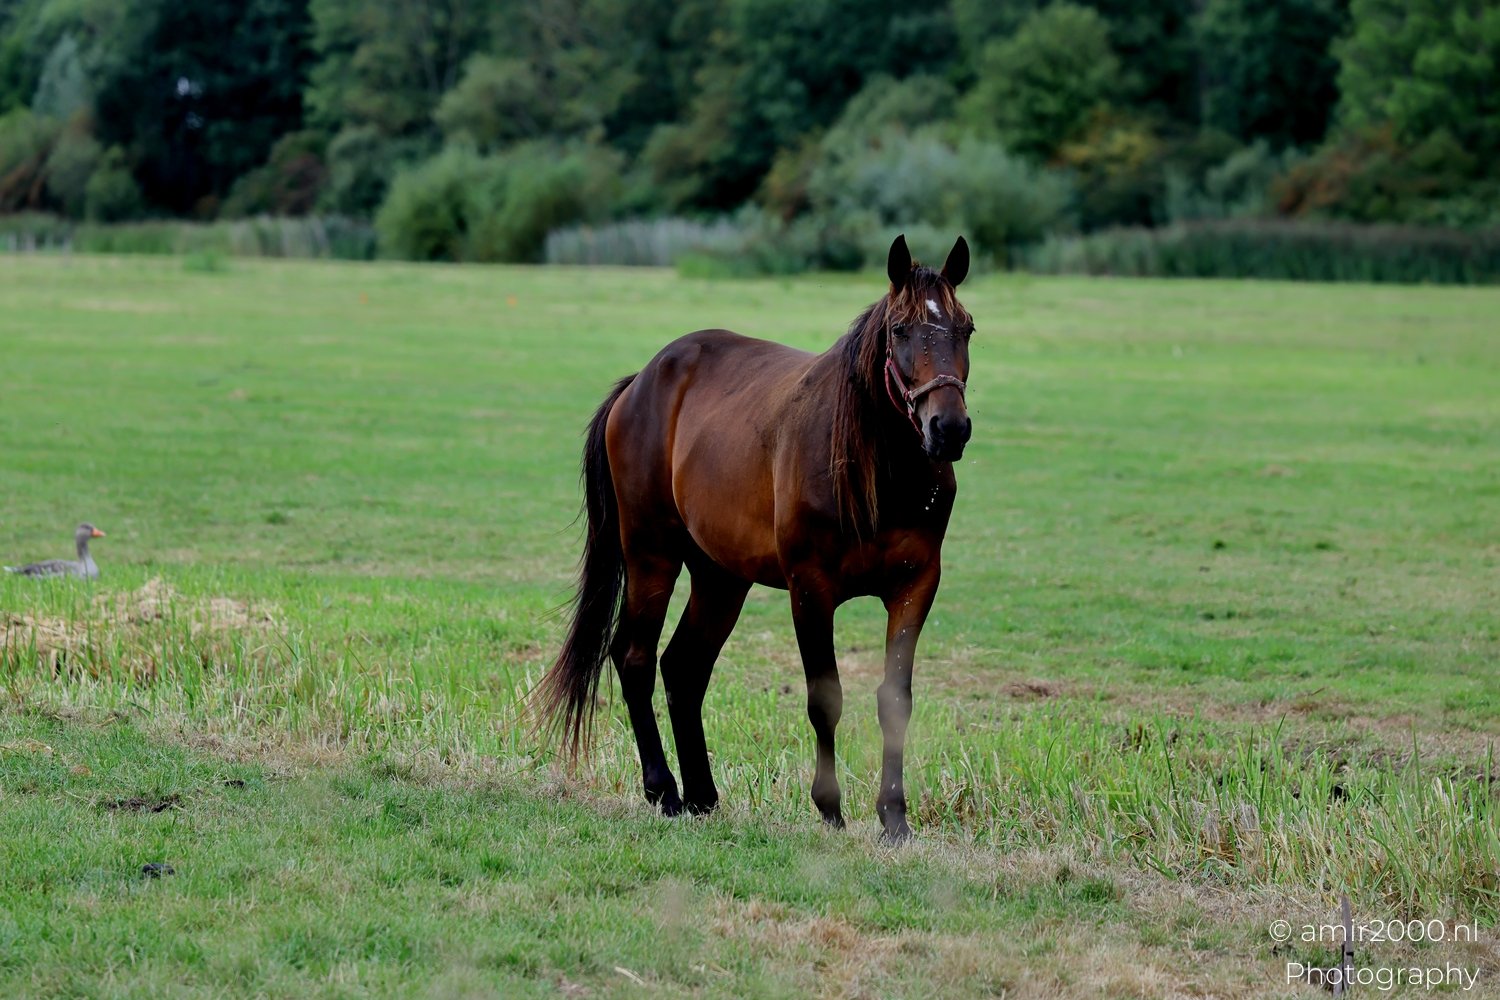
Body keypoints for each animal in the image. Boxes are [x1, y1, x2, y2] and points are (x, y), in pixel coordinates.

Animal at [536, 234, 974, 842]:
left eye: (966, 328)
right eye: (900, 330)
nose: (948, 429)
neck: (873, 471)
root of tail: (640, 383)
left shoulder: (916, 585)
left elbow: (895, 700)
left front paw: (894, 818)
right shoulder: (810, 589)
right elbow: (825, 698)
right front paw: (829, 809)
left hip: (721, 578)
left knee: (684, 667)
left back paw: (702, 794)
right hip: (651, 555)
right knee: (635, 656)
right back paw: (664, 790)